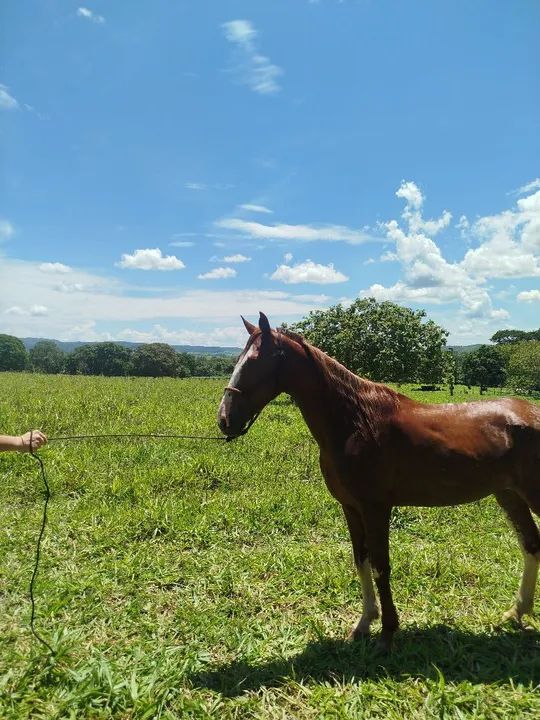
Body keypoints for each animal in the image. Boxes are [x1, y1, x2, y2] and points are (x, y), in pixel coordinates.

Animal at [217, 312, 540, 649]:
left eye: (255, 361)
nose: (224, 420)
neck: (357, 422)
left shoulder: (376, 509)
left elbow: (380, 566)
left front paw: (387, 631)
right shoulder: (351, 508)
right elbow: (361, 561)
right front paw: (364, 623)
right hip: (510, 495)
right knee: (532, 544)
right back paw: (516, 612)